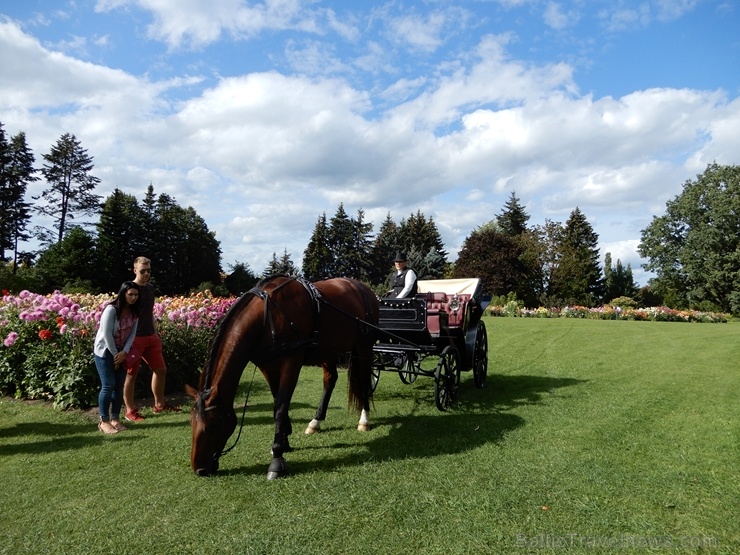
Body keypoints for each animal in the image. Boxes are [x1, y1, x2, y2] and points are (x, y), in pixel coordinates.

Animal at [185, 276, 382, 480]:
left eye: (212, 425)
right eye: (191, 423)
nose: (199, 469)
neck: (267, 316)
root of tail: (362, 287)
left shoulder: (291, 362)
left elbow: (280, 407)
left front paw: (277, 459)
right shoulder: (267, 366)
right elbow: (277, 404)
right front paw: (284, 440)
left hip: (364, 346)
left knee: (364, 380)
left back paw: (364, 420)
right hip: (328, 349)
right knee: (330, 380)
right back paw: (316, 422)